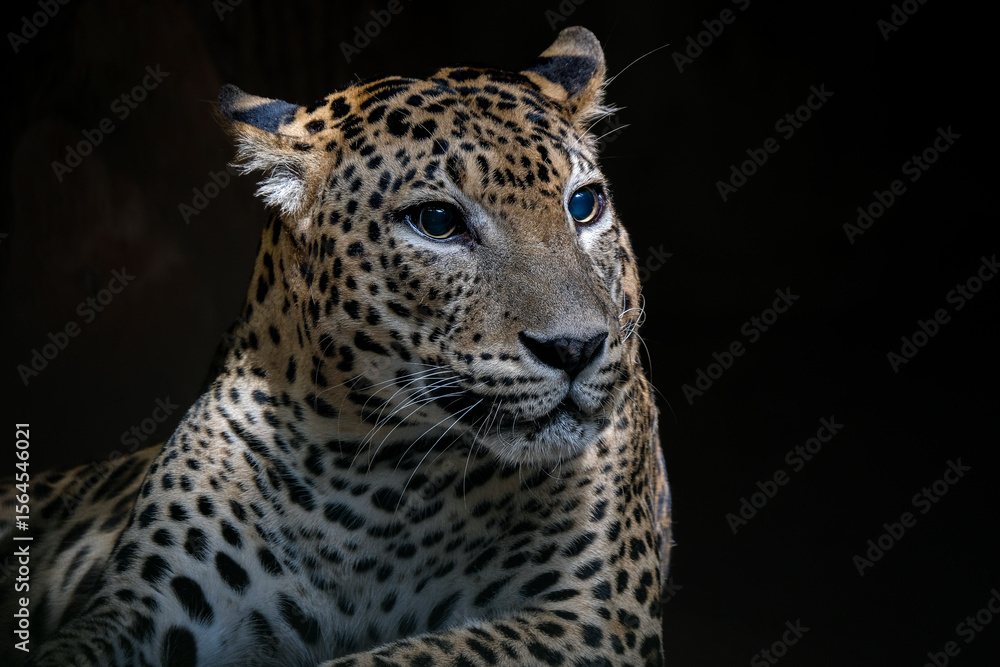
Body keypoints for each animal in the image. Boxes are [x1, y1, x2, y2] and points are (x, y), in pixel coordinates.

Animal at [1, 26, 671, 666]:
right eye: (437, 222)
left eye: (583, 205)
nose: (576, 348)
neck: (376, 473)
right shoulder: (146, 604)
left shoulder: (591, 618)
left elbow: (405, 657)